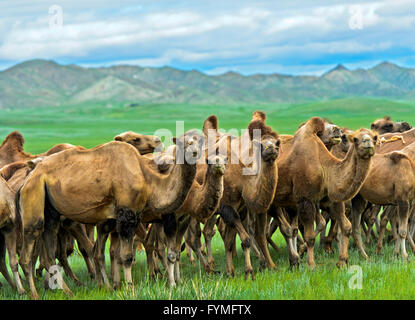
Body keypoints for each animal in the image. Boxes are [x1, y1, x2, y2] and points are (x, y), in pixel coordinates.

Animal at [19, 132, 200, 298]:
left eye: (199, 140)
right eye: (183, 143)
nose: (194, 151)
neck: (148, 180)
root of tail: (30, 176)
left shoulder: (122, 218)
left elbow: (114, 253)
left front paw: (116, 286)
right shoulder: (127, 215)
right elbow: (126, 256)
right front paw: (130, 288)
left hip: (51, 212)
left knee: (50, 251)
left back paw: (69, 291)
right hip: (34, 194)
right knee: (28, 249)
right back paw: (34, 294)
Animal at [270, 117, 380, 268]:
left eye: (374, 137)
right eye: (355, 139)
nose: (367, 142)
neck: (325, 167)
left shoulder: (333, 199)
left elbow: (346, 227)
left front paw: (342, 261)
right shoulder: (305, 199)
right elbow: (310, 236)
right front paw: (311, 265)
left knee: (289, 228)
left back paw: (293, 261)